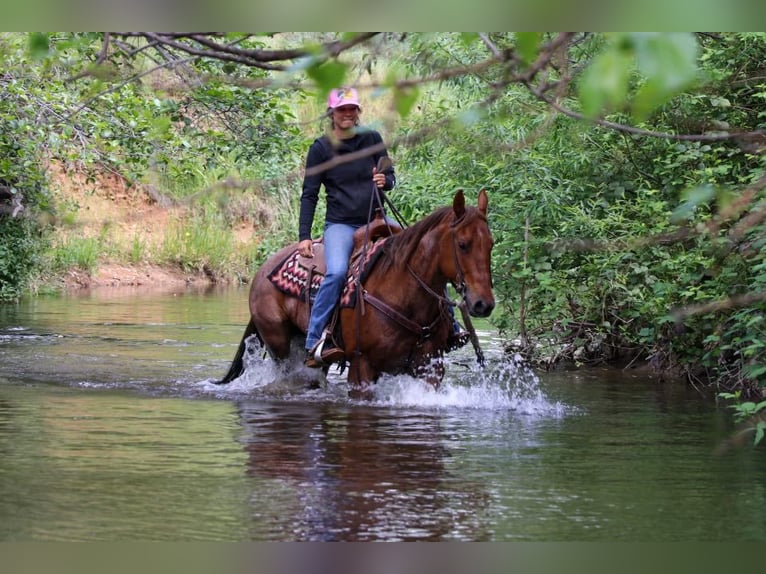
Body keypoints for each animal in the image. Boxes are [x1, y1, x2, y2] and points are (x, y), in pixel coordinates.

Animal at [216, 191, 496, 398]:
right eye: (462, 244)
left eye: (491, 244)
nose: (483, 304)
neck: (404, 294)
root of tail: (263, 270)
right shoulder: (362, 368)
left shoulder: (431, 368)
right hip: (279, 345)